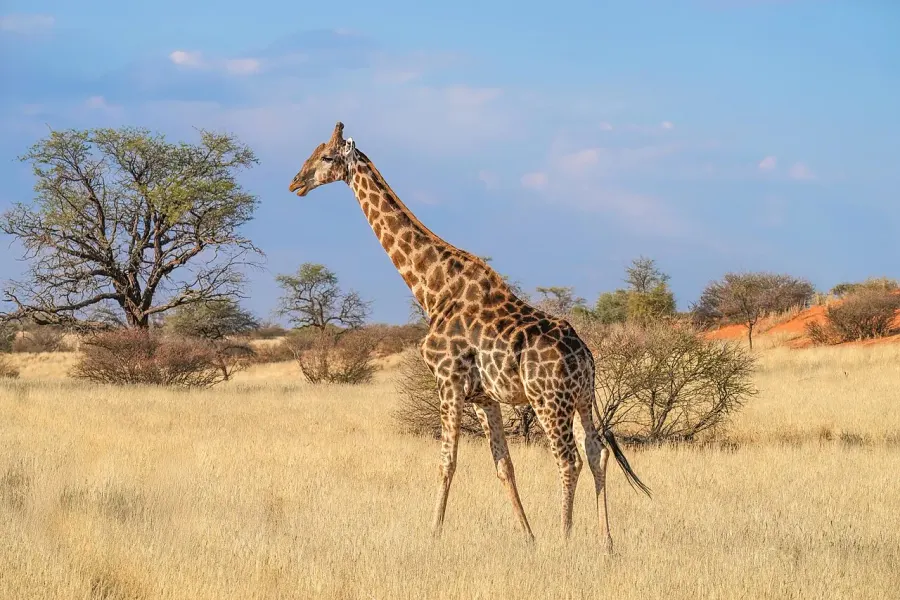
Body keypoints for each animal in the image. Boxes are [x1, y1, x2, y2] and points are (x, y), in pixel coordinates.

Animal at [289, 122, 651, 549]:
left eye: (326, 156)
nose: (296, 183)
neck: (431, 288)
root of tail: (584, 355)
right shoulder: (483, 396)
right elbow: (503, 465)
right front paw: (528, 536)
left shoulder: (447, 382)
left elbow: (447, 461)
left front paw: (433, 532)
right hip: (581, 399)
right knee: (596, 452)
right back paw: (605, 542)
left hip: (549, 400)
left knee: (568, 459)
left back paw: (565, 537)